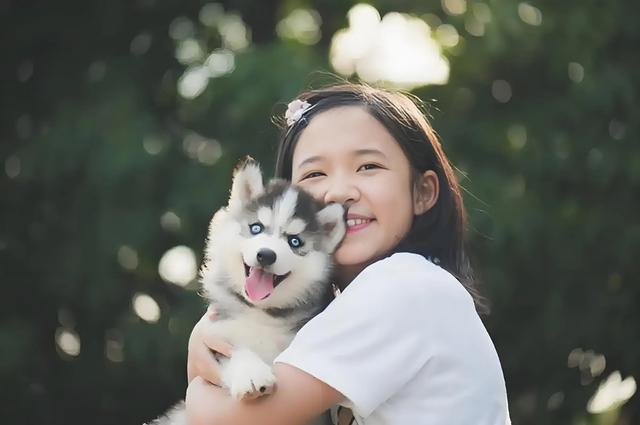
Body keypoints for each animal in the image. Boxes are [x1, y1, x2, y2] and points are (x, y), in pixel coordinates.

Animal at [149, 157, 346, 425]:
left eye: (294, 241)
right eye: (256, 228)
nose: (266, 255)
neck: (259, 313)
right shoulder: (217, 338)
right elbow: (235, 353)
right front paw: (252, 375)